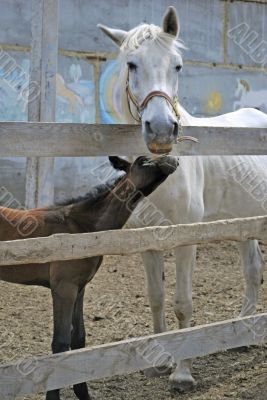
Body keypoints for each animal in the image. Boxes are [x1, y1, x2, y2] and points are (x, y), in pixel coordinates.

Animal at [98, 6, 267, 392]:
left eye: (177, 65)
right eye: (132, 64)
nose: (161, 130)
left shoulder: (186, 237)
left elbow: (183, 303)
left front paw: (183, 374)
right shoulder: (148, 240)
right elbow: (157, 298)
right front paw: (160, 362)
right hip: (243, 223)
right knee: (252, 269)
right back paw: (244, 333)